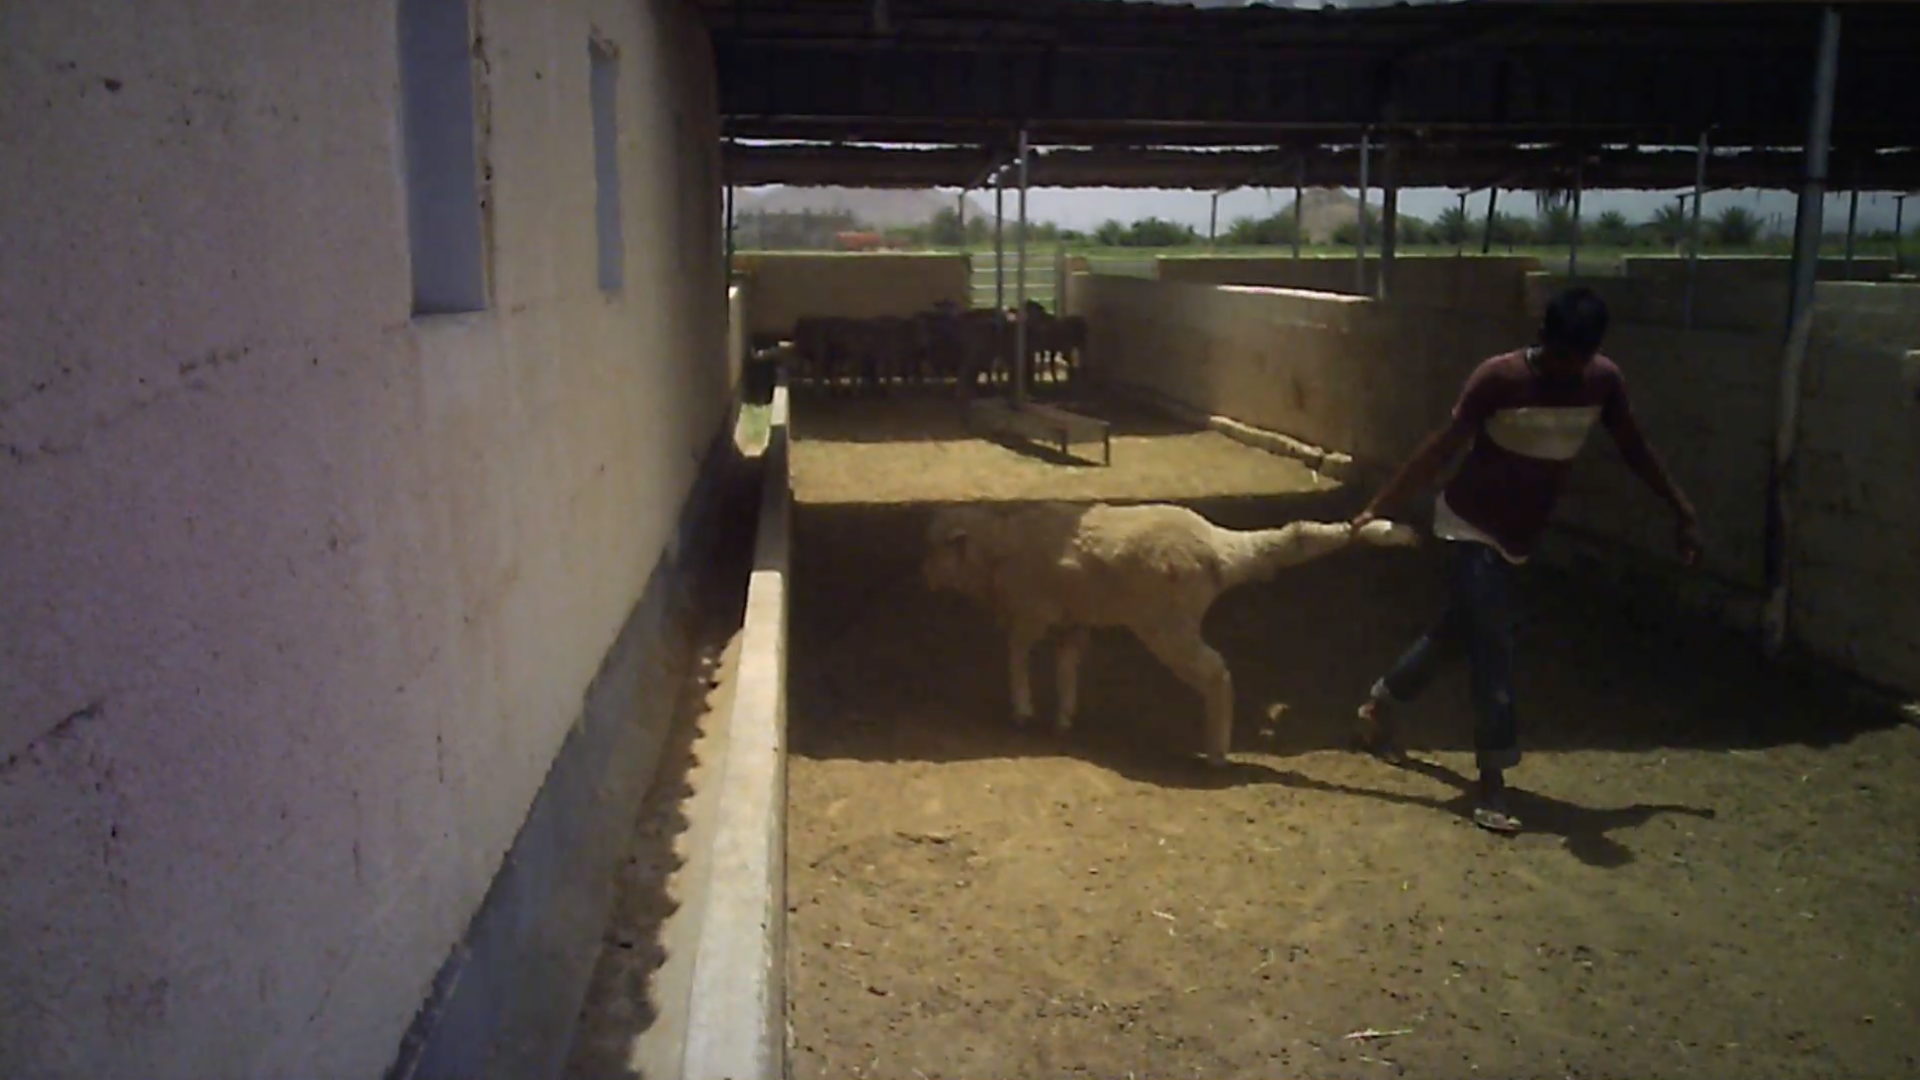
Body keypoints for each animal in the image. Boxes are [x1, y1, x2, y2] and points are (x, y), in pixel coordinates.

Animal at [921, 499, 1420, 760]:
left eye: (938, 548)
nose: (920, 575)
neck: (996, 553)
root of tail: (1221, 546)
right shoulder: (1074, 618)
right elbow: (1066, 664)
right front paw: (1063, 717)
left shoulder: (1032, 613)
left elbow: (1016, 654)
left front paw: (1022, 710)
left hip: (1168, 625)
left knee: (1217, 673)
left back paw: (1216, 752)